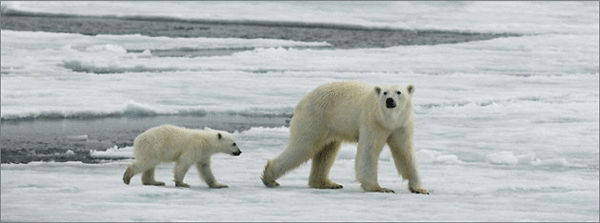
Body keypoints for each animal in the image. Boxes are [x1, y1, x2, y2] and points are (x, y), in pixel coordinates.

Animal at [262, 80, 426, 193]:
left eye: (399, 92)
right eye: (385, 93)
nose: (389, 101)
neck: (388, 121)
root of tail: (303, 100)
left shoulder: (402, 125)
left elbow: (405, 152)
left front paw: (420, 189)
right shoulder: (372, 121)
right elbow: (368, 151)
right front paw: (379, 188)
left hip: (328, 125)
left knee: (326, 152)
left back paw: (327, 183)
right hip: (315, 117)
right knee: (303, 146)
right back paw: (270, 179)